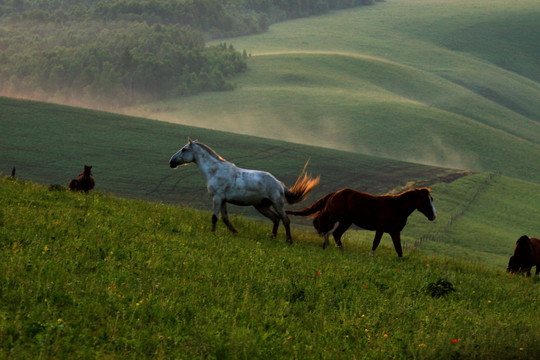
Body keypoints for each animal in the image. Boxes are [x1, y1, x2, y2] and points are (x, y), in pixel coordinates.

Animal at [169, 138, 320, 242]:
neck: (215, 171)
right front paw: (235, 232)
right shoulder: (222, 200)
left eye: (184, 149)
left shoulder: (217, 198)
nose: (171, 162)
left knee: (285, 220)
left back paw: (288, 241)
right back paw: (272, 238)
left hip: (277, 204)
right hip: (261, 206)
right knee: (276, 219)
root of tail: (279, 184)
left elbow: (214, 217)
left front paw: (213, 233)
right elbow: (225, 218)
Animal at [286, 187, 434, 258]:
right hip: (336, 217)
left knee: (335, 233)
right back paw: (327, 244)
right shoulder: (381, 228)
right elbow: (376, 243)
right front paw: (370, 256)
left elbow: (399, 249)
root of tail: (335, 193)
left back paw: (339, 250)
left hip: (345, 221)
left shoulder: (394, 232)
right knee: (323, 224)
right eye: (426, 200)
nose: (433, 216)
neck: (396, 208)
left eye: (431, 199)